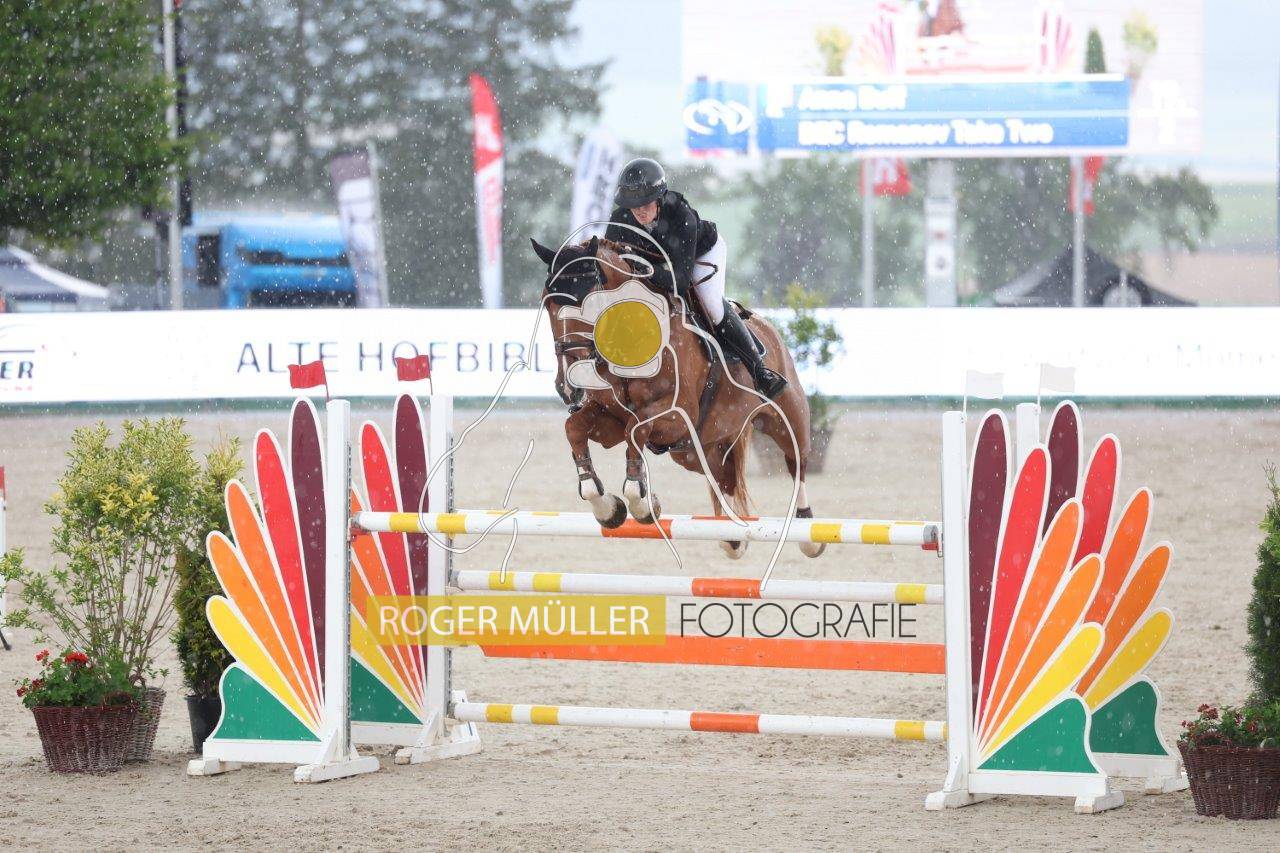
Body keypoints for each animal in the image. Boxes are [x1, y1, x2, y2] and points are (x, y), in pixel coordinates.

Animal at [529, 235, 824, 560]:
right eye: (548, 301)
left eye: (589, 301)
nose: (568, 387)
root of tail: (766, 325)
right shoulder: (611, 418)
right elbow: (576, 428)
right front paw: (609, 509)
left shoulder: (675, 417)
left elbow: (636, 430)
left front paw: (642, 504)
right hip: (694, 450)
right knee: (724, 477)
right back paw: (732, 535)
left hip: (786, 418)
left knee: (797, 463)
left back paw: (808, 534)